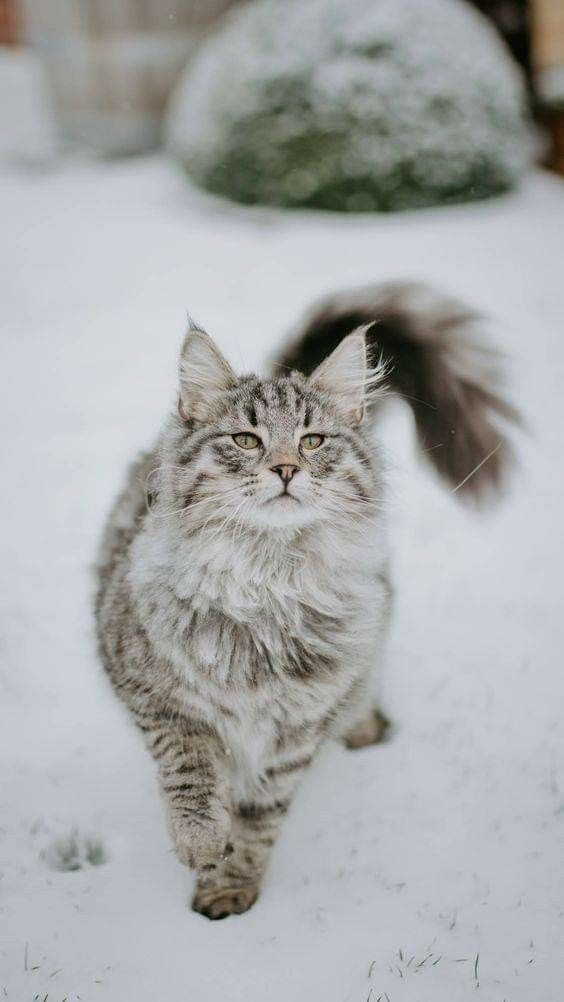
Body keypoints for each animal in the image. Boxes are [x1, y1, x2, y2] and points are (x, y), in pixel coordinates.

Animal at [93, 280, 520, 917]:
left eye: (312, 440)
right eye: (246, 440)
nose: (286, 469)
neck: (267, 583)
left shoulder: (295, 730)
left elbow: (259, 818)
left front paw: (232, 883)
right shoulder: (149, 688)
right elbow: (188, 768)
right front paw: (200, 842)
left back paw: (365, 727)